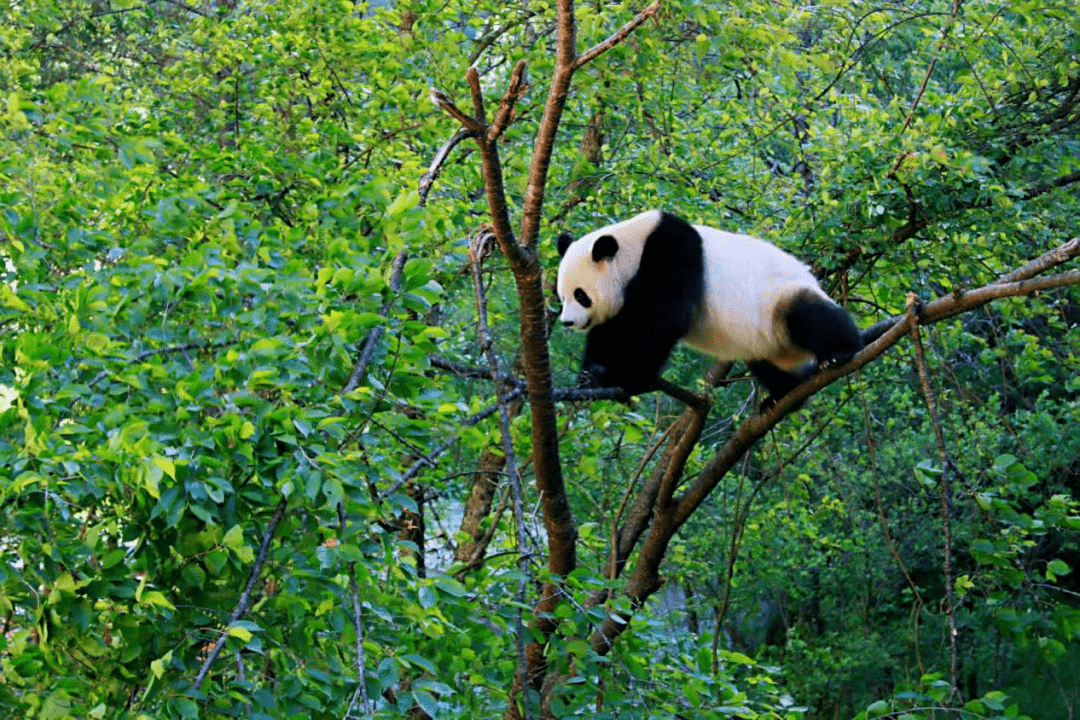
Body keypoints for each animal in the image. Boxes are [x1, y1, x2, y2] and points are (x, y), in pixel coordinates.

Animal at [557, 209, 859, 405]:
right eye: (561, 296)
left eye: (581, 295)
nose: (567, 322)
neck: (634, 246)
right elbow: (613, 330)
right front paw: (592, 378)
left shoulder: (672, 252)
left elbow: (660, 320)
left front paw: (631, 378)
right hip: (769, 345)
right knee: (766, 363)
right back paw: (781, 393)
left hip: (779, 299)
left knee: (810, 317)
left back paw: (840, 351)